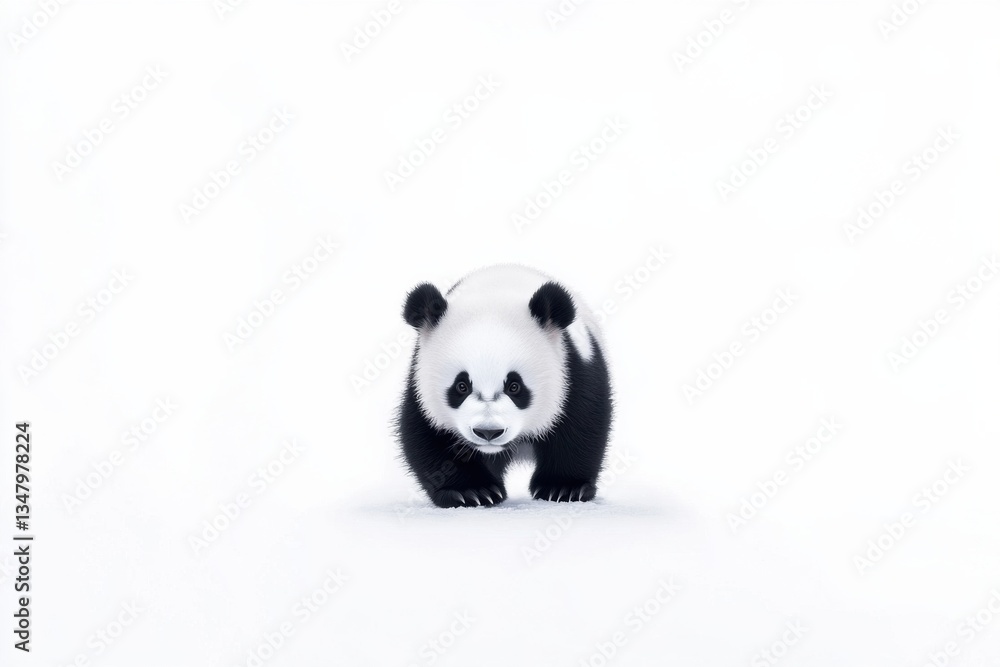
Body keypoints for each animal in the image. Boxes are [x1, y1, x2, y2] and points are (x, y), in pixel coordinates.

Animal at [395, 264, 613, 508]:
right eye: (461, 386)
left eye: (515, 387)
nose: (488, 432)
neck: (495, 296)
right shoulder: (420, 383)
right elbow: (428, 436)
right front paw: (472, 491)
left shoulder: (573, 370)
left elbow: (580, 425)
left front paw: (563, 488)